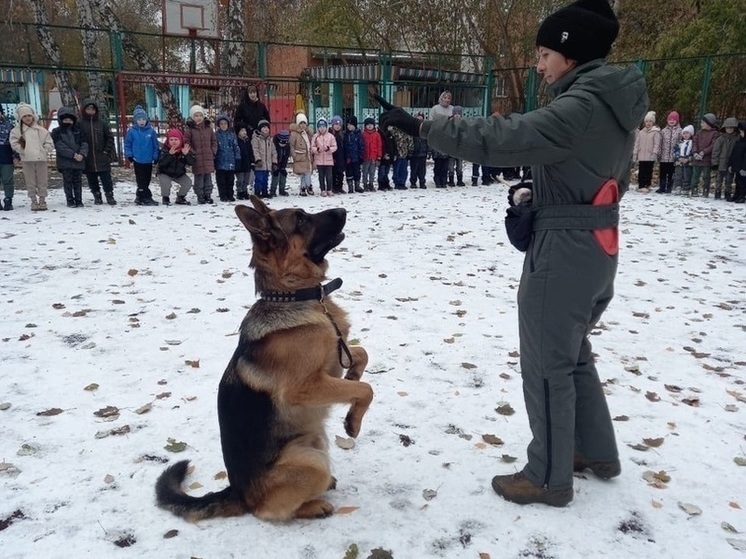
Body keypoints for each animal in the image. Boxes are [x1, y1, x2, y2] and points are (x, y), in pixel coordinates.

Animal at [155, 197, 372, 520]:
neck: (293, 295)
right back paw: (315, 505)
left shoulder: (333, 361)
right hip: (313, 460)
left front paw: (354, 380)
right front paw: (353, 423)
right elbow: (367, 389)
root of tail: (239, 493)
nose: (343, 210)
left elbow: (360, 355)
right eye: (301, 220)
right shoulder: (306, 387)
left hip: (316, 441)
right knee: (269, 511)